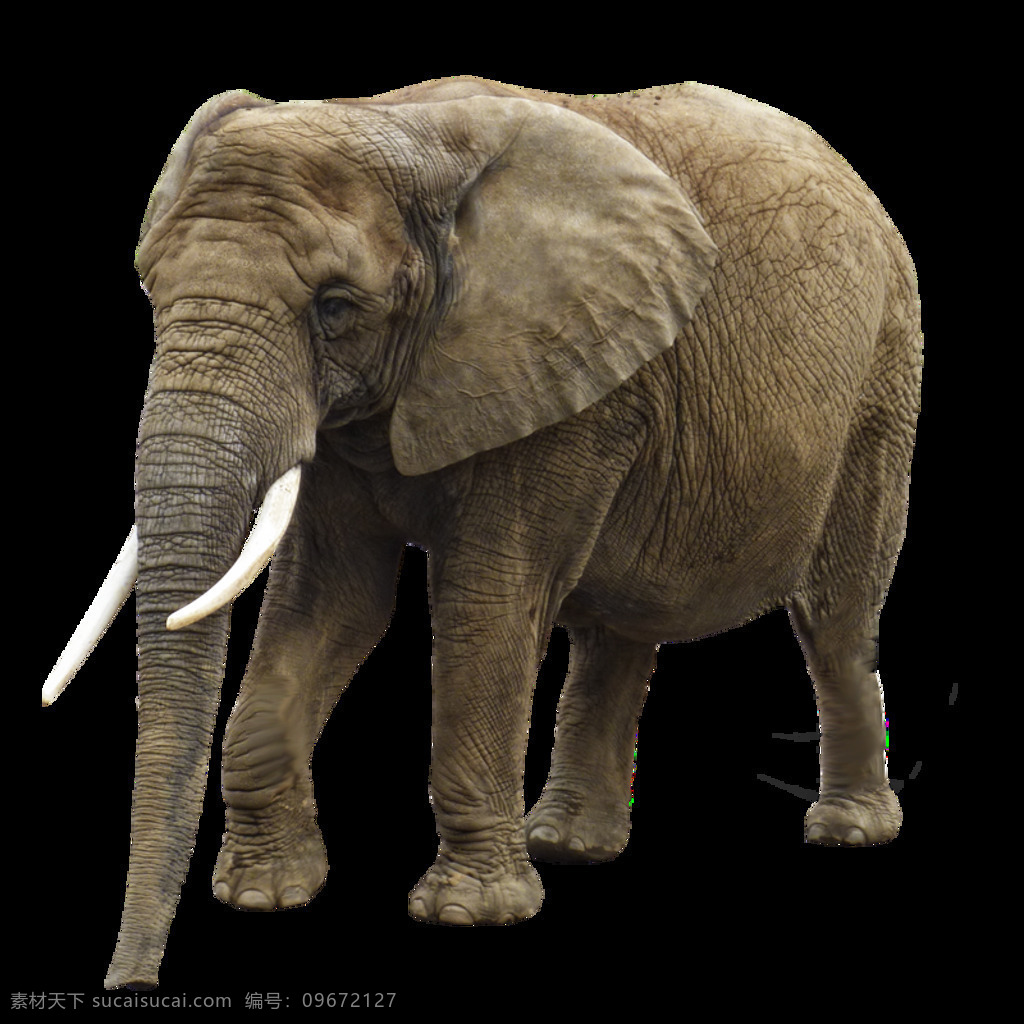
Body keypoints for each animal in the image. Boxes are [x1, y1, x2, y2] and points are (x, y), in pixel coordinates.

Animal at [42, 76, 922, 990]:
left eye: (335, 308)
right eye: (151, 289)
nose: (131, 983)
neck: (397, 125)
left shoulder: (558, 372)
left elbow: (486, 603)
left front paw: (469, 914)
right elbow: (332, 605)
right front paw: (264, 894)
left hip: (881, 376)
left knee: (836, 616)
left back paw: (848, 831)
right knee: (615, 627)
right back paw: (567, 844)